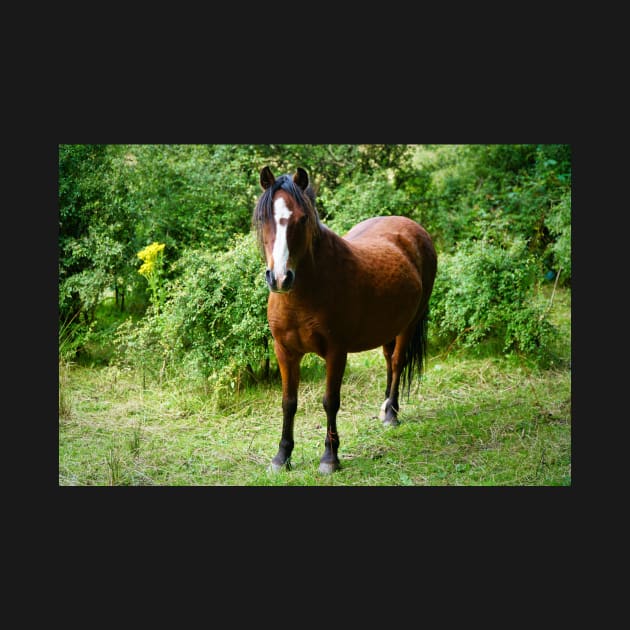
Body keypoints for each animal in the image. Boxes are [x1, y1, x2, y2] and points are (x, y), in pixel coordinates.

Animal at [254, 167, 436, 474]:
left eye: (302, 218)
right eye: (263, 219)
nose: (279, 278)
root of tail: (414, 229)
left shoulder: (336, 352)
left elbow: (331, 401)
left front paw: (330, 457)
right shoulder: (285, 351)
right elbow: (288, 402)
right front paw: (282, 457)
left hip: (408, 325)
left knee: (397, 362)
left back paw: (392, 414)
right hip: (388, 327)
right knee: (388, 361)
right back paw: (384, 407)